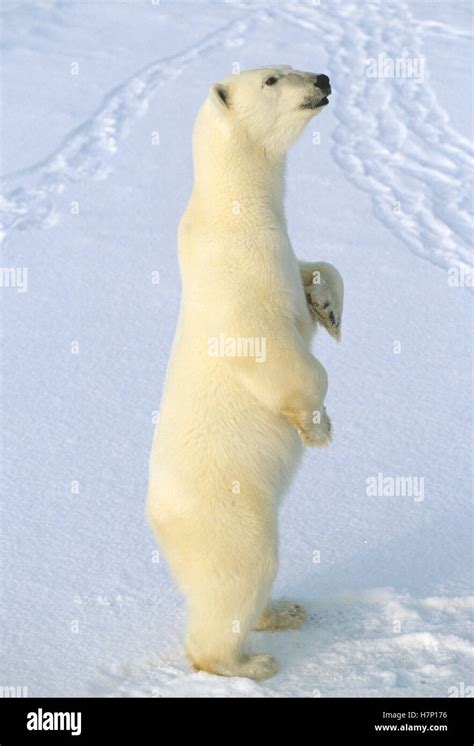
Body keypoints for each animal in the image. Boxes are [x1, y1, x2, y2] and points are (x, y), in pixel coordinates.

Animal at [146, 67, 342, 676]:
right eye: (273, 78)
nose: (324, 77)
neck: (233, 207)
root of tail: (159, 526)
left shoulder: (280, 249)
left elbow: (317, 270)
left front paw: (330, 308)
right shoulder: (241, 270)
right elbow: (272, 350)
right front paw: (318, 427)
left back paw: (285, 610)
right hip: (227, 512)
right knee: (241, 572)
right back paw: (247, 662)